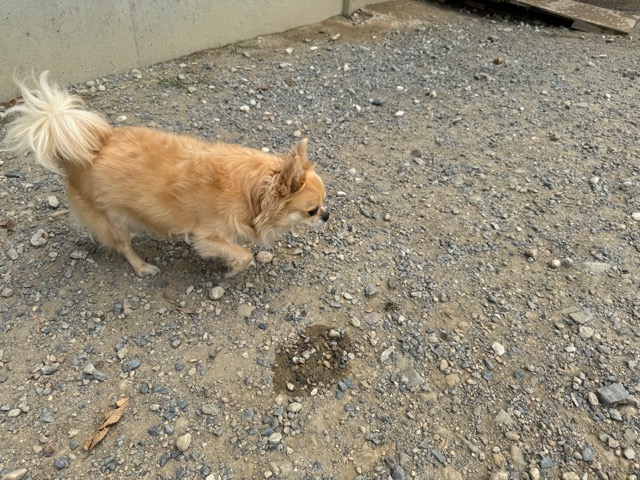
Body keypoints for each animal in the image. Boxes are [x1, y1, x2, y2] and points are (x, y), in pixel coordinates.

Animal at [2, 71, 329, 277]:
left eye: (322, 207)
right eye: (312, 211)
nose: (327, 215)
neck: (253, 191)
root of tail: (89, 148)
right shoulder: (206, 236)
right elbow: (243, 254)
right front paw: (233, 269)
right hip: (109, 219)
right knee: (123, 246)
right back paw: (142, 267)